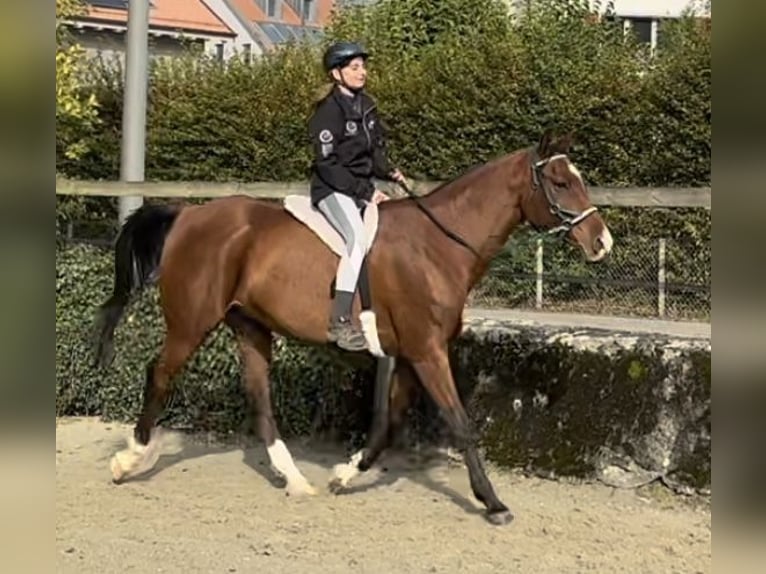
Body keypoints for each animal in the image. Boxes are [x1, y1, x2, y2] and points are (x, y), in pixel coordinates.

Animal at [93, 130, 616, 528]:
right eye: (559, 181)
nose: (602, 243)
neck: (438, 244)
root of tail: (190, 213)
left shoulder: (410, 353)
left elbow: (388, 425)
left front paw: (344, 474)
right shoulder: (427, 351)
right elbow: (461, 424)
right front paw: (493, 503)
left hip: (251, 327)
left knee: (260, 398)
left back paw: (296, 481)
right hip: (191, 322)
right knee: (160, 374)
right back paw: (129, 460)